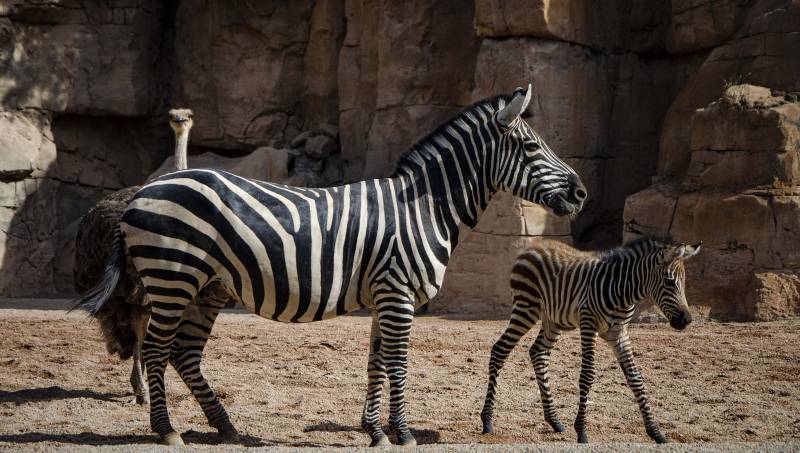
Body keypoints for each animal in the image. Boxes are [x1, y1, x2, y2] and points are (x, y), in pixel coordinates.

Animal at [478, 238, 696, 444]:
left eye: (685, 282)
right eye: (669, 282)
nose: (686, 320)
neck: (623, 290)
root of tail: (533, 246)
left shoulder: (619, 334)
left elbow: (636, 378)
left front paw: (656, 432)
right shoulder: (588, 323)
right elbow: (587, 375)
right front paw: (581, 431)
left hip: (553, 319)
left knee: (538, 353)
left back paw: (554, 420)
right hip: (526, 308)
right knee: (500, 350)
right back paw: (487, 420)